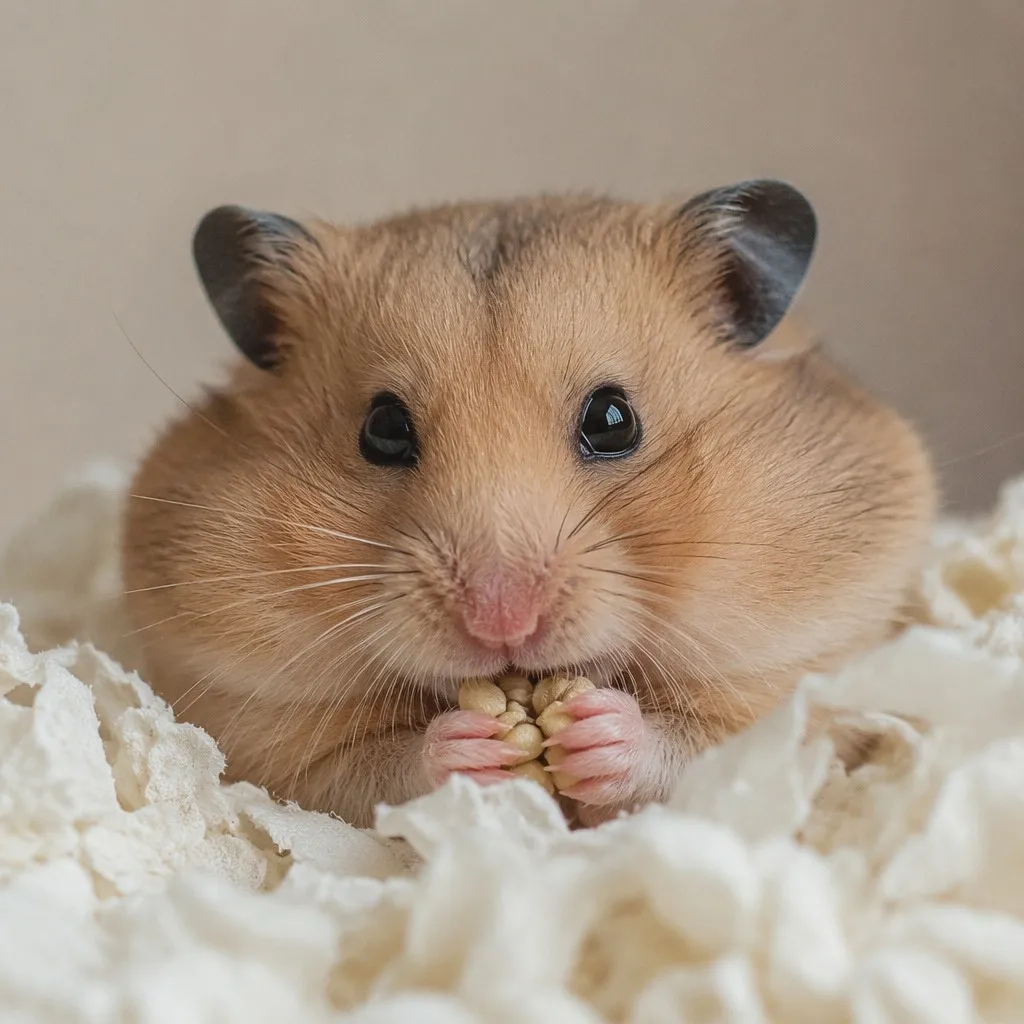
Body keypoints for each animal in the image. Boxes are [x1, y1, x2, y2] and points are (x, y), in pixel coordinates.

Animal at [122, 180, 937, 828]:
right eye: (382, 430)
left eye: (613, 421)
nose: (501, 622)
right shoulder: (278, 750)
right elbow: (375, 773)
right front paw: (468, 745)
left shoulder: (797, 701)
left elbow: (700, 751)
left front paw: (596, 732)